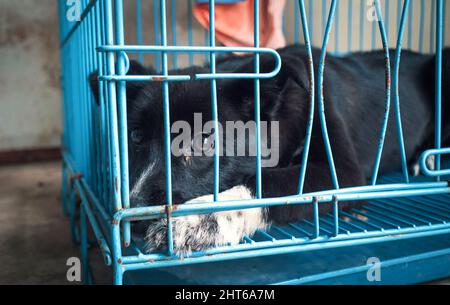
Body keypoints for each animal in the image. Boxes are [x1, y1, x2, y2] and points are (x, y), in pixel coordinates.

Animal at [89, 45, 448, 254]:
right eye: (135, 135)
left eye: (204, 141)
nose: (133, 219)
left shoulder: (345, 175)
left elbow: (268, 185)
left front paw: (197, 220)